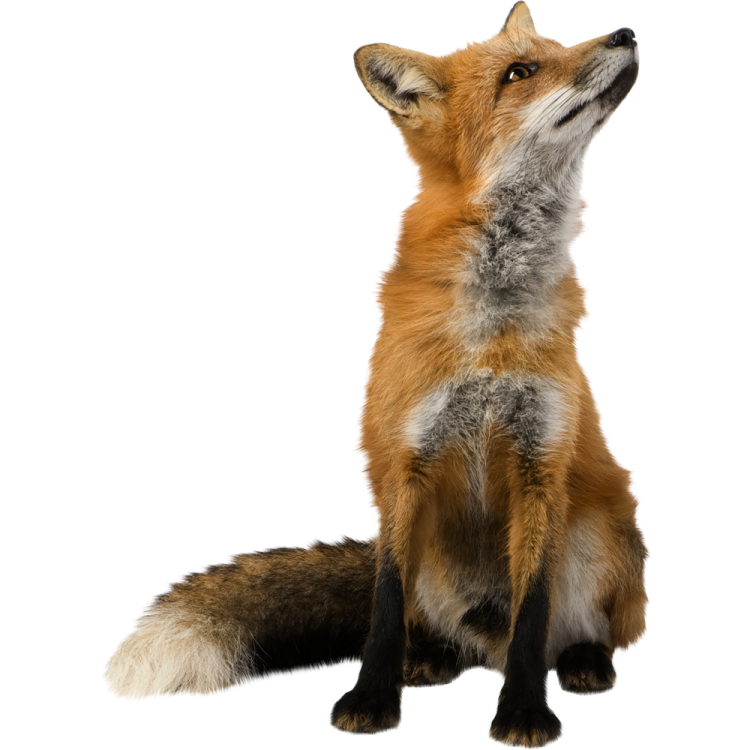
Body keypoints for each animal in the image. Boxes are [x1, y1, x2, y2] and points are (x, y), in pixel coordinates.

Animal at [102, 3, 649, 747]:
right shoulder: (402, 464)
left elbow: (533, 611)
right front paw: (371, 699)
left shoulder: (541, 462)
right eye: (521, 70)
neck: (490, 328)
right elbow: (384, 607)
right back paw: (430, 660)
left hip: (603, 533)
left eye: (555, 45)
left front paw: (524, 711)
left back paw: (583, 662)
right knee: (435, 628)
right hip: (434, 560)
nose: (625, 33)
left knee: (567, 631)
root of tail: (481, 638)